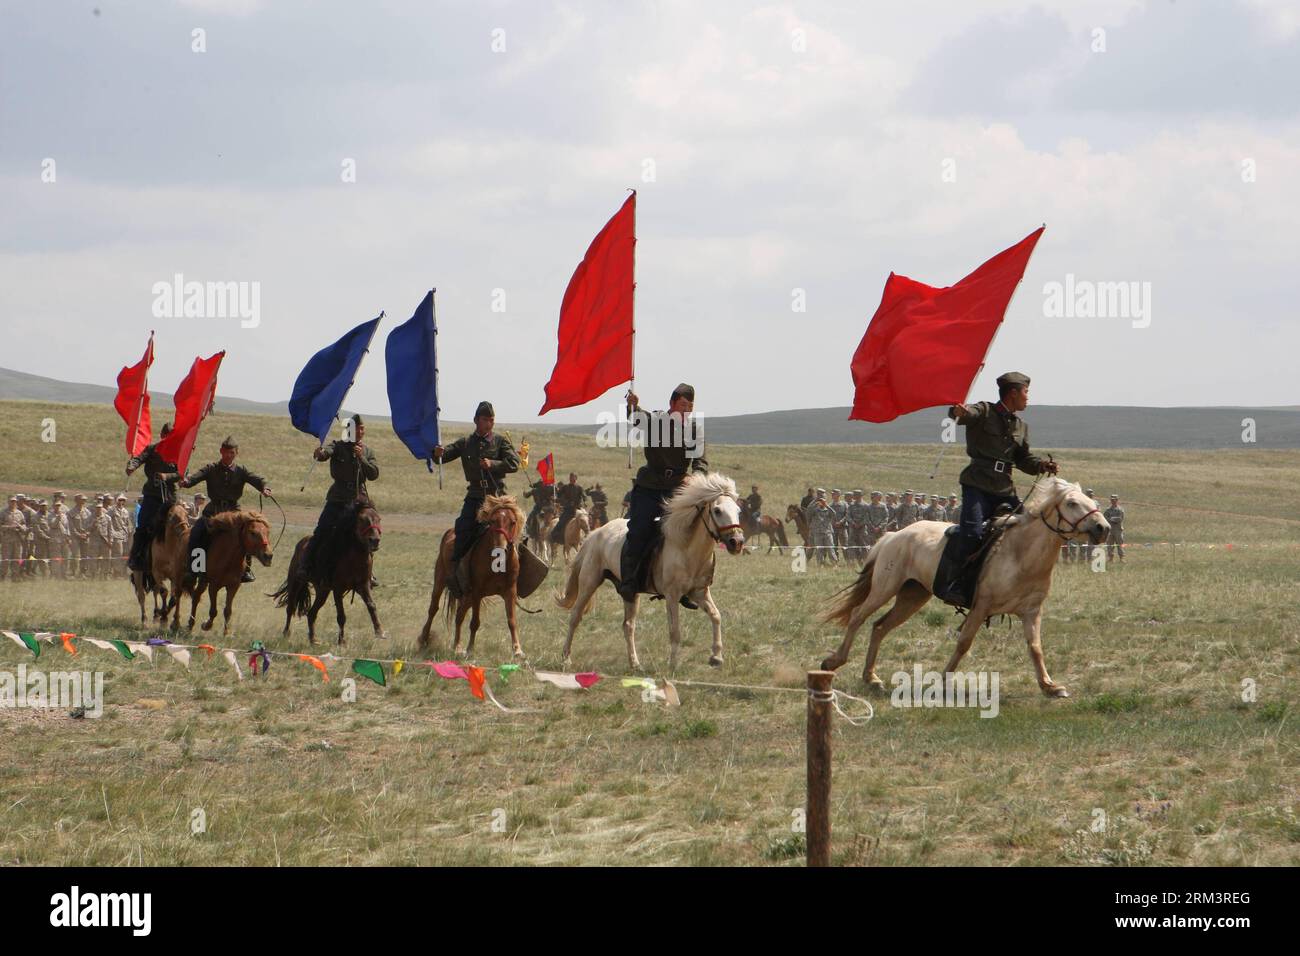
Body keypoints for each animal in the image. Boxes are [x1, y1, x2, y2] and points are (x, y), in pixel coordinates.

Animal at [269, 496, 379, 647]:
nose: (375, 540)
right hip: (296, 582)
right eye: (362, 519)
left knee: (311, 613)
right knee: (290, 608)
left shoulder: (363, 585)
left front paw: (380, 632)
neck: (353, 557)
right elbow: (341, 616)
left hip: (322, 590)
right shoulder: (338, 589)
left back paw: (313, 639)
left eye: (378, 519)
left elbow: (371, 606)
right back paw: (286, 634)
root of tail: (301, 543)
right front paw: (342, 642)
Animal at [421, 496, 533, 660]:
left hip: (467, 596)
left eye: (513, 522)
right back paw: (424, 640)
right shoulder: (477, 592)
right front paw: (470, 649)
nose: (501, 549)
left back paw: (457, 646)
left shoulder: (510, 592)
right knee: (433, 609)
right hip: (441, 582)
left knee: (459, 615)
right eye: (492, 521)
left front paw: (518, 650)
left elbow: (512, 621)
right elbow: (475, 622)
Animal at [556, 473, 748, 671]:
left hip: (630, 594)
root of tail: (596, 534)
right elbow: (675, 631)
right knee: (575, 616)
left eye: (738, 511)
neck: (686, 548)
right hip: (590, 582)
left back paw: (635, 663)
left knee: (628, 626)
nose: (737, 542)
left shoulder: (699, 592)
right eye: (717, 511)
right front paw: (673, 665)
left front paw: (716, 656)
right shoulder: (672, 595)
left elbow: (716, 616)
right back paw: (566, 658)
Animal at [821, 481, 1107, 697]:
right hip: (885, 588)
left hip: (912, 596)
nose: (1102, 528)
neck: (1021, 555)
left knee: (880, 627)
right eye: (1072, 503)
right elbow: (964, 643)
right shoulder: (981, 607)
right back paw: (833, 662)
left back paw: (871, 678)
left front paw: (1049, 686)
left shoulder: (1031, 611)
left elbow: (1035, 647)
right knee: (857, 616)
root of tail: (894, 535)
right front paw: (941, 681)